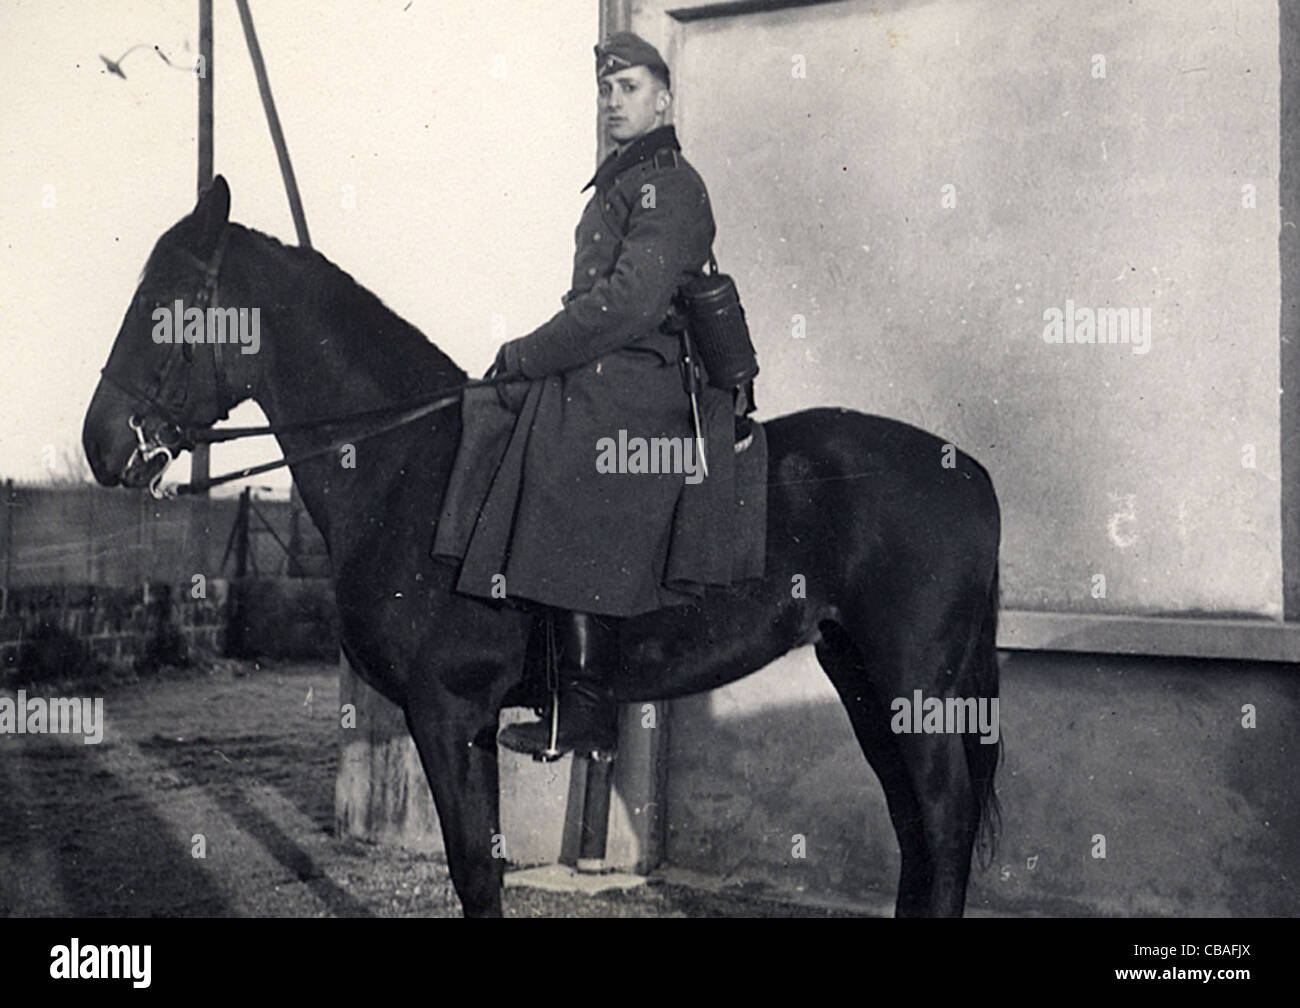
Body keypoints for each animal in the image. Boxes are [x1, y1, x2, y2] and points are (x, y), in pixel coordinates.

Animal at [83, 176, 1003, 920]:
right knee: (915, 825)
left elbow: (474, 873)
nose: (100, 444)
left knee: (944, 819)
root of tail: (967, 468)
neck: (408, 461)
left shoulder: (447, 712)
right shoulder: (469, 721)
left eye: (167, 303)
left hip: (912, 687)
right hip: (860, 675)